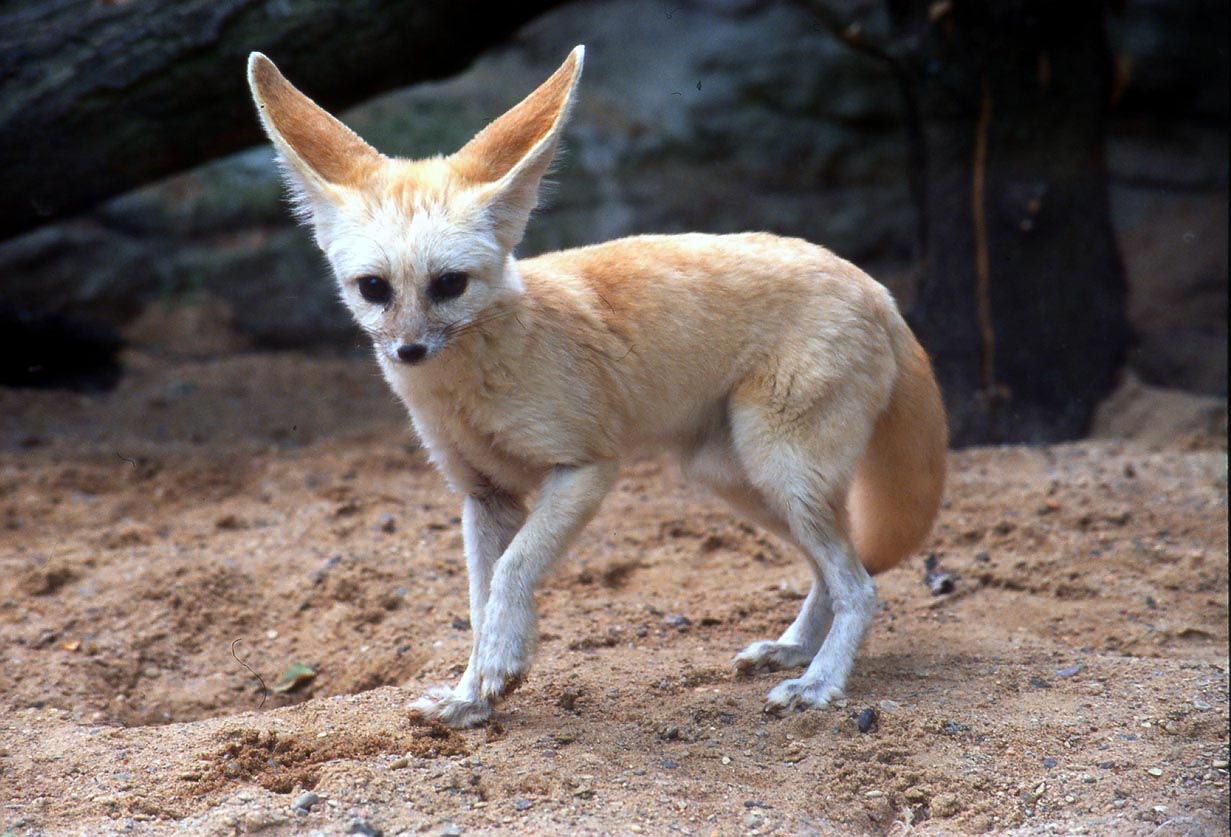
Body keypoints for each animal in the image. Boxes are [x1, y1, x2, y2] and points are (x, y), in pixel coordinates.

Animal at [244, 45, 945, 723]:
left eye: (449, 285)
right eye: (374, 289)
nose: (408, 351)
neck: (469, 387)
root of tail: (875, 287)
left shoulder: (586, 468)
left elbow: (511, 573)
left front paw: (496, 671)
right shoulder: (484, 495)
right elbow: (479, 599)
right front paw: (474, 696)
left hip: (781, 471)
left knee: (861, 586)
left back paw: (820, 682)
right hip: (738, 477)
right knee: (839, 571)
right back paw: (795, 650)